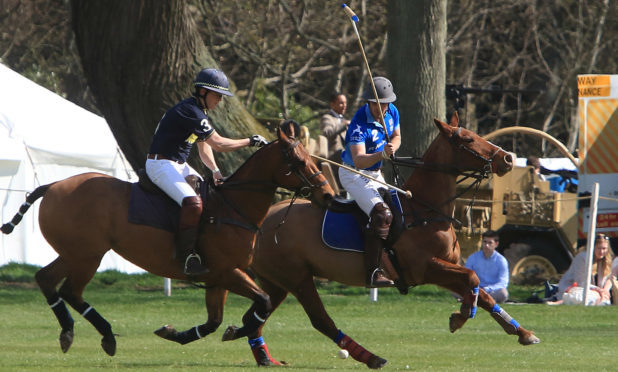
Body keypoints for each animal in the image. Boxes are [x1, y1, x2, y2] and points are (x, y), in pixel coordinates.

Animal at [1, 129, 332, 356]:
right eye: (298, 161)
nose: (328, 195)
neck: (234, 206)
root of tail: (53, 185)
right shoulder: (227, 272)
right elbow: (262, 301)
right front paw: (240, 330)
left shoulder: (217, 279)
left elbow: (213, 321)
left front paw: (174, 332)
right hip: (89, 255)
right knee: (70, 290)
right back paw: (105, 335)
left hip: (74, 252)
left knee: (46, 279)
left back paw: (69, 332)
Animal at [223, 115, 540, 370]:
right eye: (468, 139)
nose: (508, 159)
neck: (424, 211)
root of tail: (262, 219)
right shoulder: (426, 268)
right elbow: (474, 278)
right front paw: (460, 317)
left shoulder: (446, 267)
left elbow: (482, 293)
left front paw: (523, 333)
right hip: (297, 277)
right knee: (319, 319)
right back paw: (370, 357)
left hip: (276, 281)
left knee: (258, 313)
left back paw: (253, 348)